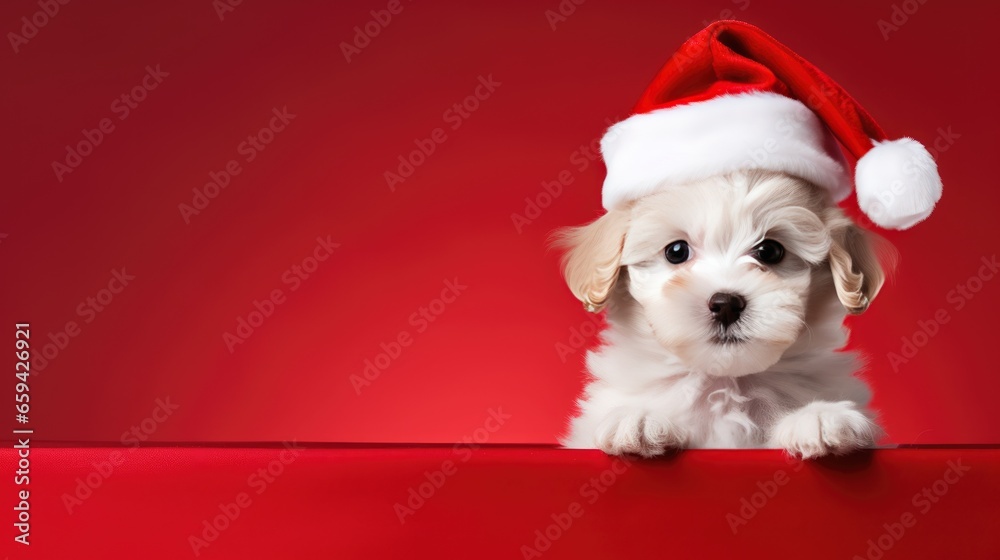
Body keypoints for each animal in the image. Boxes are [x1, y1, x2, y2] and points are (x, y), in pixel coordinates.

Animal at [560, 168, 896, 458]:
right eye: (676, 251)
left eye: (770, 251)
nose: (725, 304)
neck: (725, 384)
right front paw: (637, 418)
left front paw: (820, 417)